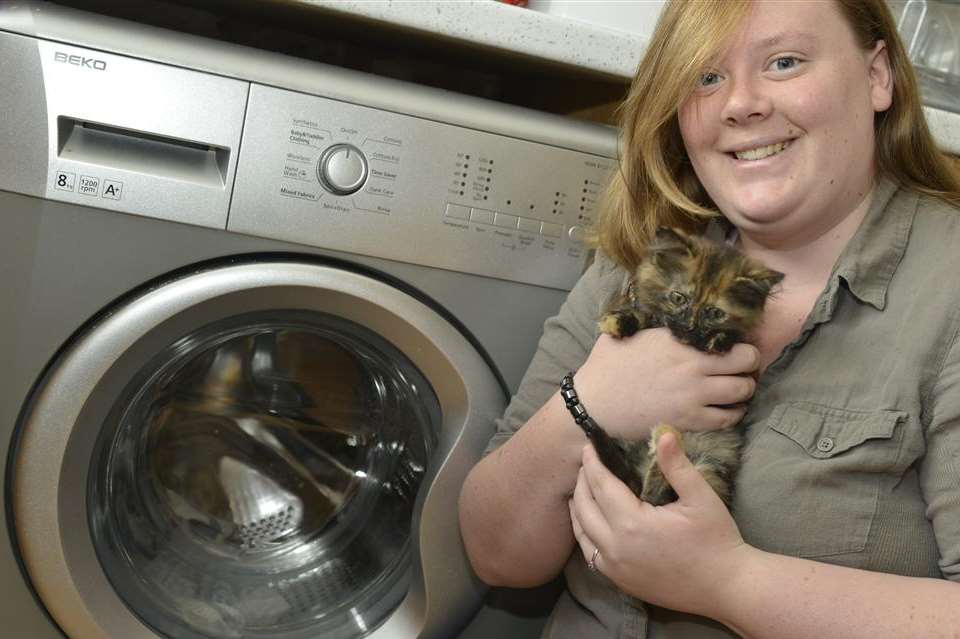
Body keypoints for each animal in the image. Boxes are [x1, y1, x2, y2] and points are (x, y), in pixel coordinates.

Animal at [584, 228, 780, 508]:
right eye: (678, 298)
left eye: (714, 313)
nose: (689, 326)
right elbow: (642, 315)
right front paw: (619, 320)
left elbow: (730, 338)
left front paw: (719, 339)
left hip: (709, 468)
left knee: (656, 495)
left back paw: (664, 438)